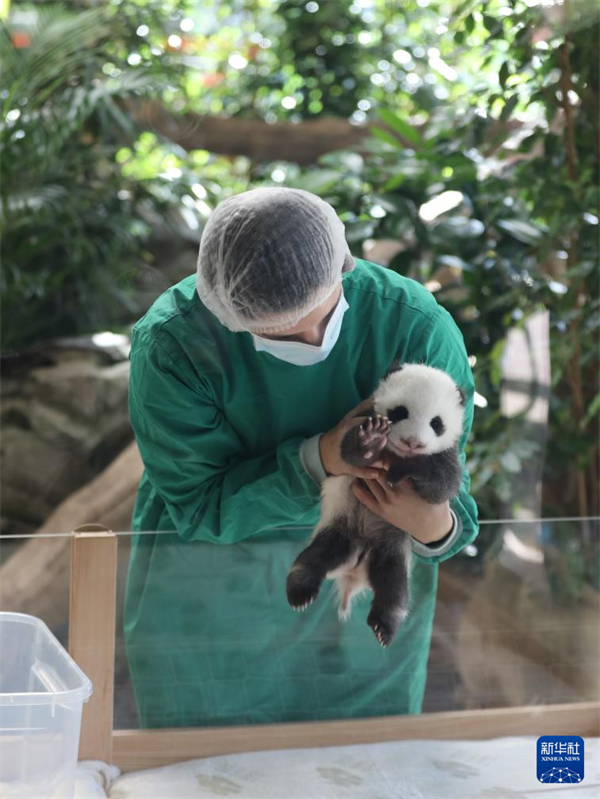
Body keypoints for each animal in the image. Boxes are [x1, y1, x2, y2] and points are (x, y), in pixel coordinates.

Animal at [286, 362, 465, 648]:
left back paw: (385, 626)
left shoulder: (446, 454)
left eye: (436, 423)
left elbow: (442, 487)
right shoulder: (360, 420)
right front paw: (370, 440)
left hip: (392, 549)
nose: (413, 443)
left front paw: (405, 471)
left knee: (394, 589)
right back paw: (300, 592)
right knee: (312, 559)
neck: (396, 454)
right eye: (400, 411)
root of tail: (354, 570)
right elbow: (348, 454)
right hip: (339, 528)